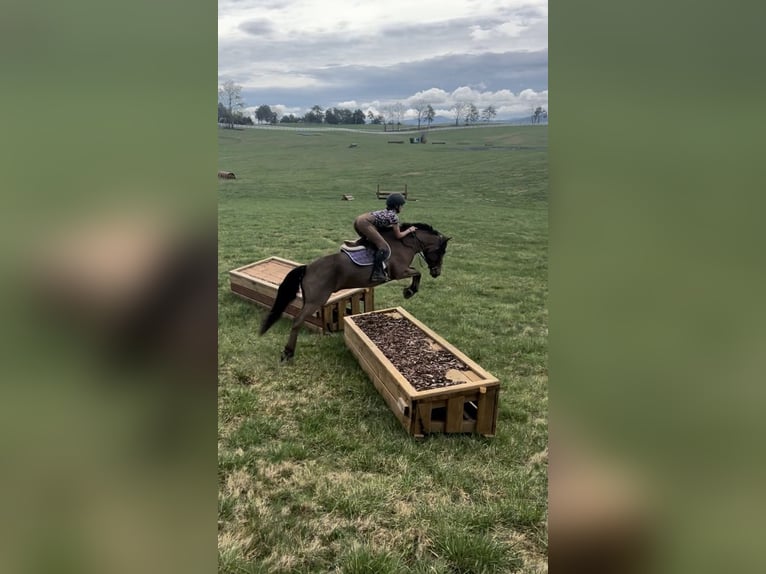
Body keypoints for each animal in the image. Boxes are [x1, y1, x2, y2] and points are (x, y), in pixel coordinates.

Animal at [259, 223, 451, 361]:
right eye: (440, 252)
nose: (437, 273)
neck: (404, 243)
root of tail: (307, 268)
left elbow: (417, 273)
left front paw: (409, 290)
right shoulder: (399, 272)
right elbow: (417, 273)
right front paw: (409, 291)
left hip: (309, 300)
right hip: (316, 301)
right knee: (297, 321)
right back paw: (288, 353)